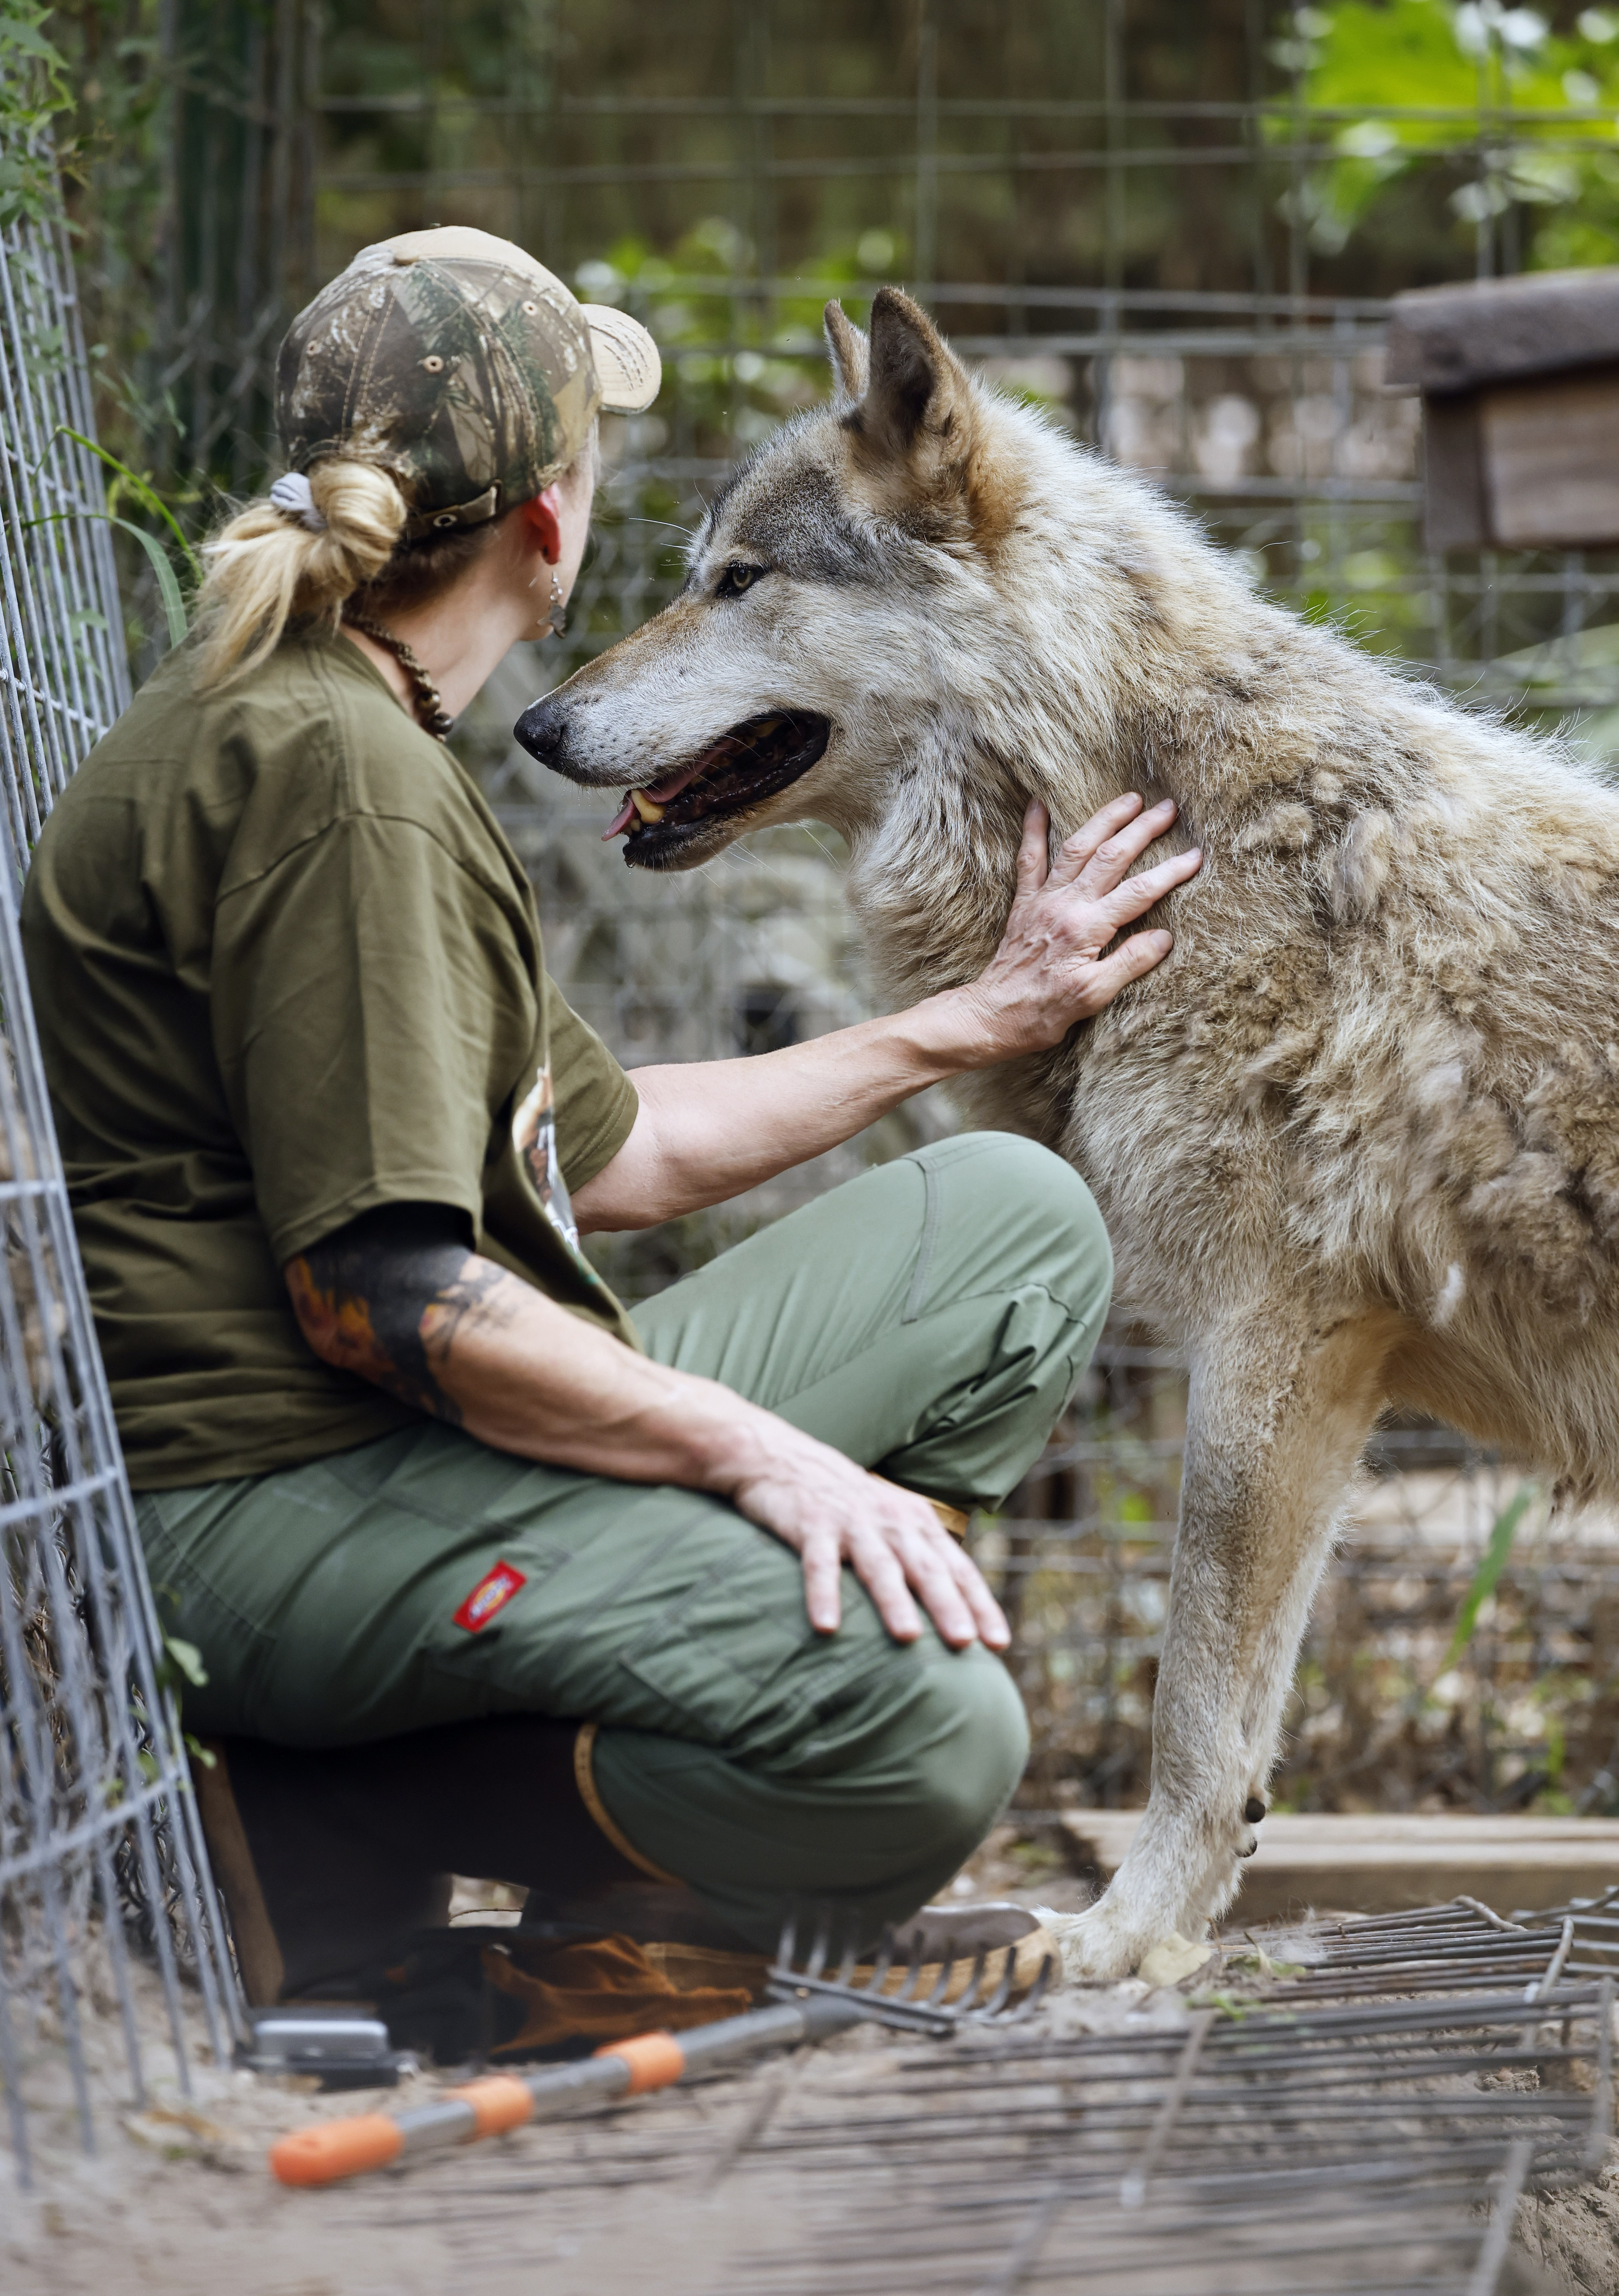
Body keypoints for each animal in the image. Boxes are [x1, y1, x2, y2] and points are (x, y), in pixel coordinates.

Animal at [514, 287, 1619, 1982]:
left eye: (737, 581)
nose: (532, 721)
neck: (1167, 816)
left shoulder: (1267, 1341)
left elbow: (1188, 1707)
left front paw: (1120, 1940)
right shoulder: (1322, 1375)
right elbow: (1234, 1720)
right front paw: (1168, 1930)